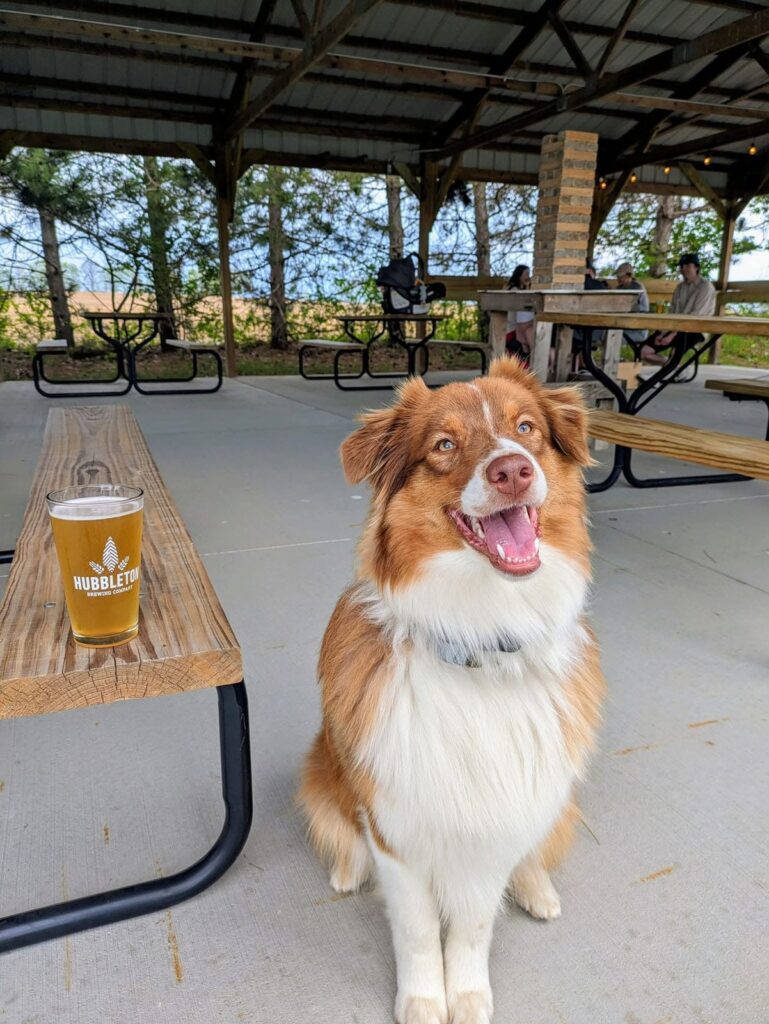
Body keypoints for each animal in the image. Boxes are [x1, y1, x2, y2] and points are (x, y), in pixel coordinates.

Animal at [298, 359, 606, 1024]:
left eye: (526, 428)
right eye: (443, 445)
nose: (513, 469)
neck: (481, 641)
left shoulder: (500, 817)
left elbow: (471, 925)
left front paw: (465, 993)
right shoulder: (395, 827)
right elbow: (417, 929)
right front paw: (421, 999)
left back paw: (538, 890)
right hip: (321, 767)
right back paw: (346, 869)